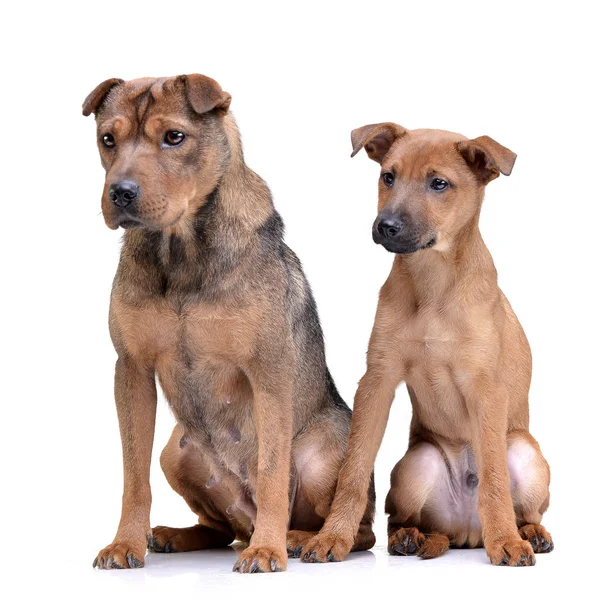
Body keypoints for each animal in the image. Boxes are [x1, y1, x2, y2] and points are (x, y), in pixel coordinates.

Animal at [82, 74, 372, 572]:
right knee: (219, 528)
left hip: (322, 451)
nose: (120, 193)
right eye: (107, 139)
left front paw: (268, 550)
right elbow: (133, 475)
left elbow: (273, 472)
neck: (180, 250)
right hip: (176, 452)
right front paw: (125, 544)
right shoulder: (132, 370)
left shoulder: (268, 370)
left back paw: (299, 538)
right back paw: (176, 536)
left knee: (359, 529)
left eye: (174, 136)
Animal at [300, 123, 552, 568]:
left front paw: (506, 541)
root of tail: (466, 534)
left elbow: (494, 478)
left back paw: (528, 533)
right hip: (417, 463)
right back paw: (408, 538)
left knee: (526, 505)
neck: (434, 285)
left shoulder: (487, 389)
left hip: (526, 450)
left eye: (439, 184)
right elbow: (354, 469)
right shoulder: (378, 380)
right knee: (399, 518)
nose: (386, 225)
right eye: (388, 177)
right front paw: (333, 536)